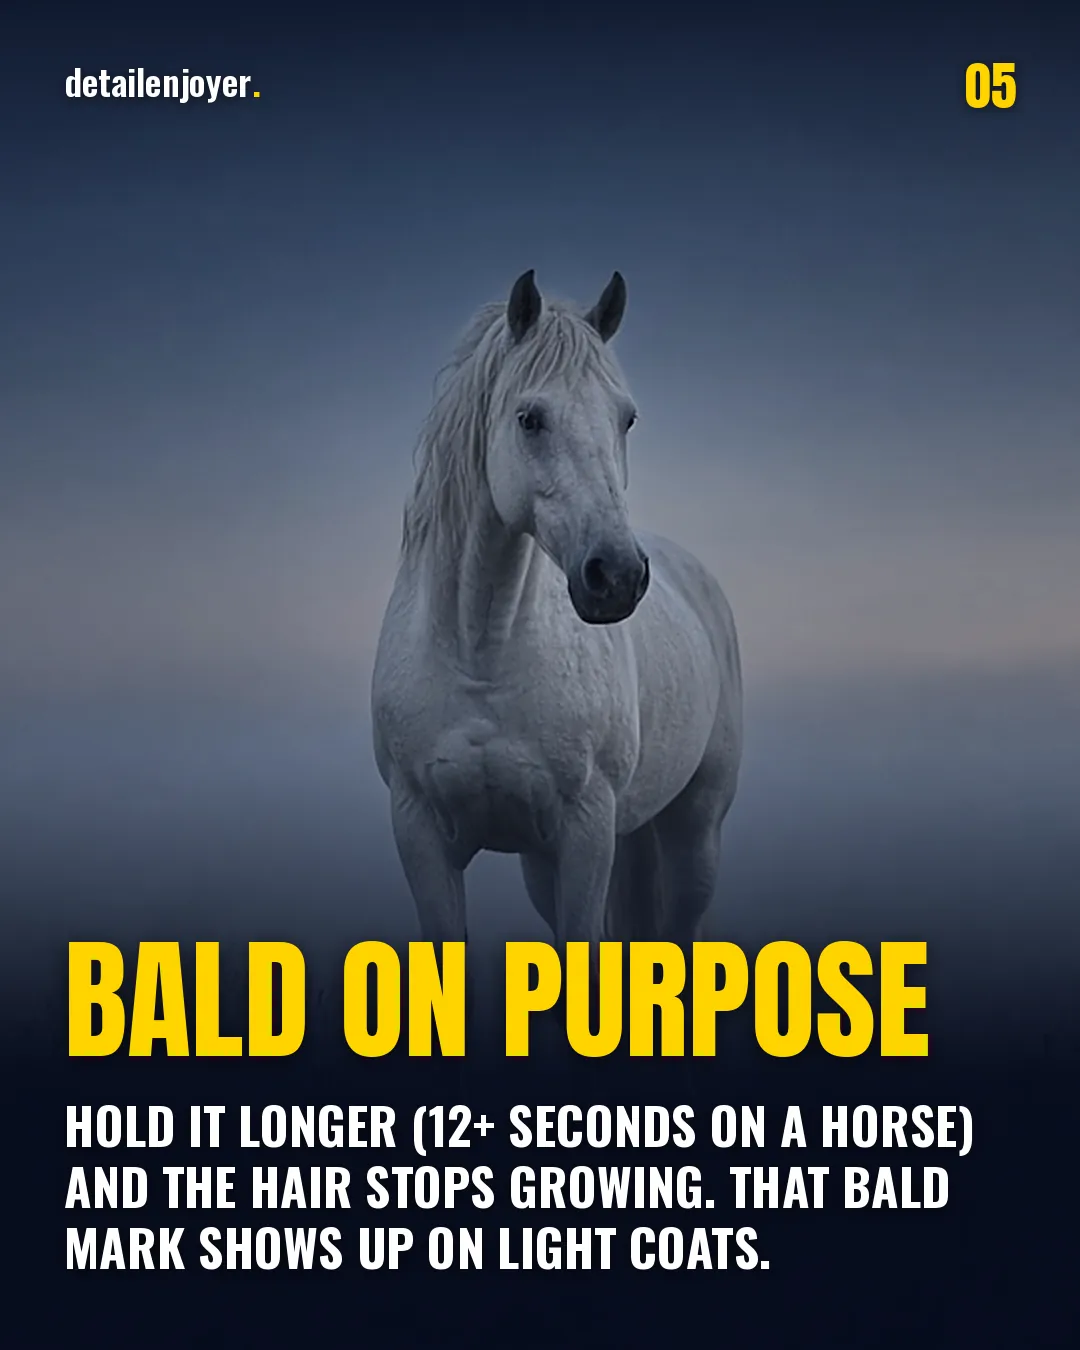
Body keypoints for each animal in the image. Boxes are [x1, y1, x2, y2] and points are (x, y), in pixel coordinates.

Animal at [371, 269, 742, 947]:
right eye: (530, 418)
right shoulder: (421, 832)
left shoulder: (585, 833)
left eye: (627, 419)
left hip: (693, 833)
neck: (481, 654)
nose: (617, 576)